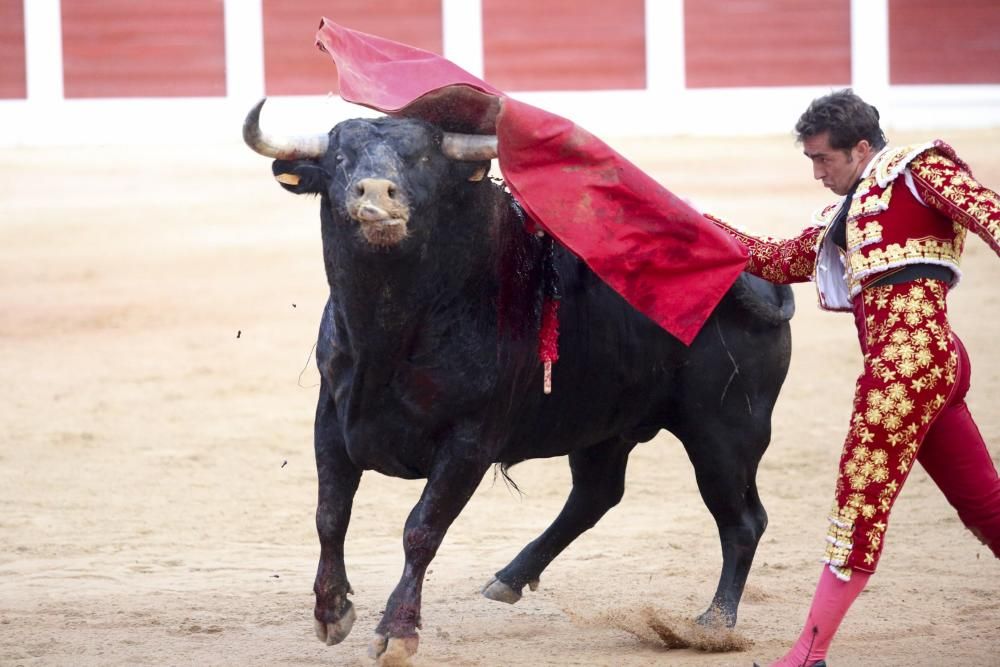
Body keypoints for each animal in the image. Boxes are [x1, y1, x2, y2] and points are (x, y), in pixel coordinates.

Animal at [244, 99, 796, 664]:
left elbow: (422, 528)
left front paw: (397, 631)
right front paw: (331, 613)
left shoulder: (469, 440)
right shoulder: (332, 416)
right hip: (606, 427)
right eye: (339, 158)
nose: (375, 194)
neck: (391, 336)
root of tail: (751, 264)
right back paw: (509, 577)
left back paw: (713, 623)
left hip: (726, 431)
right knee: (596, 495)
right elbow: (330, 514)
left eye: (423, 160)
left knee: (742, 521)